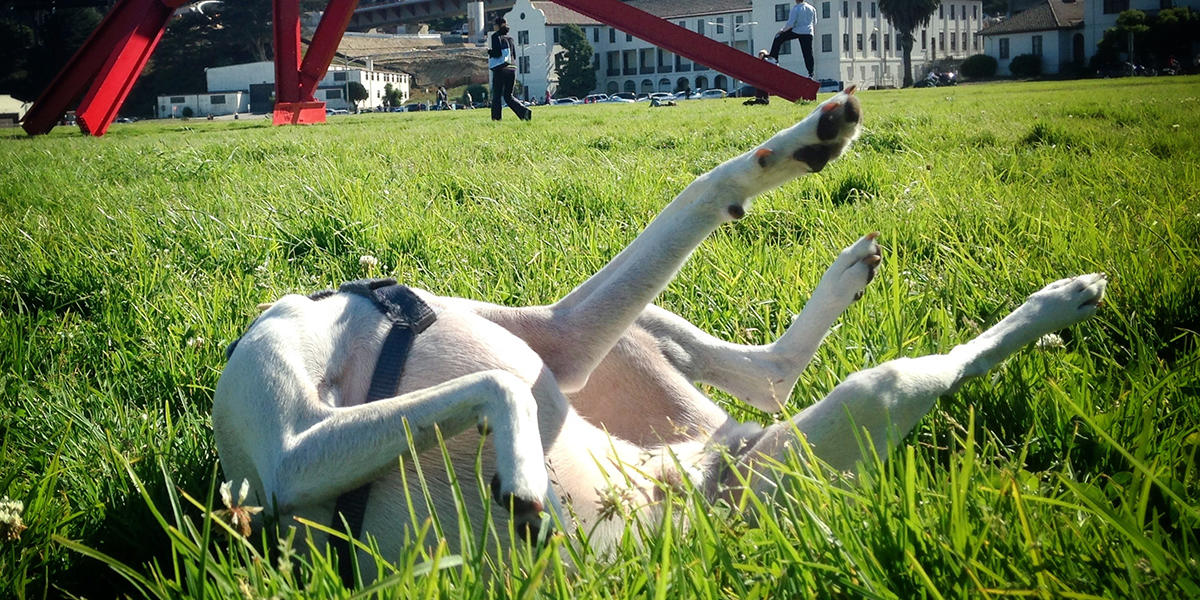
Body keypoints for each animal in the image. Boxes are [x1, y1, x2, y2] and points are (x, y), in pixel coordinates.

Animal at [213, 91, 1104, 583]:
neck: (360, 316)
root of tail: (714, 459)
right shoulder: (289, 457)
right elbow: (496, 390)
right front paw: (523, 471)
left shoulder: (560, 342)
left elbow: (703, 189)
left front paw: (799, 146)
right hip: (843, 420)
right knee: (889, 376)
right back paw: (1056, 303)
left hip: (624, 346)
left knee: (766, 369)